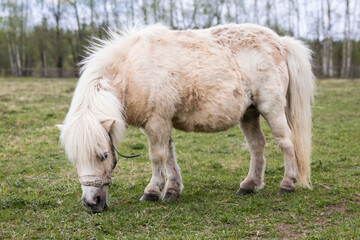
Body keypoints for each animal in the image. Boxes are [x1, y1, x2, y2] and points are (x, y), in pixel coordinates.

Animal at [57, 23, 316, 213]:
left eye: (103, 155)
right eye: (74, 159)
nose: (91, 203)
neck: (132, 71)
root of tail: (279, 41)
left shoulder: (156, 123)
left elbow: (157, 157)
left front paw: (152, 191)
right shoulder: (161, 123)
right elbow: (169, 156)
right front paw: (172, 190)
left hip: (271, 108)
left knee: (286, 142)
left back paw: (287, 184)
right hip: (249, 113)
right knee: (257, 145)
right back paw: (249, 185)